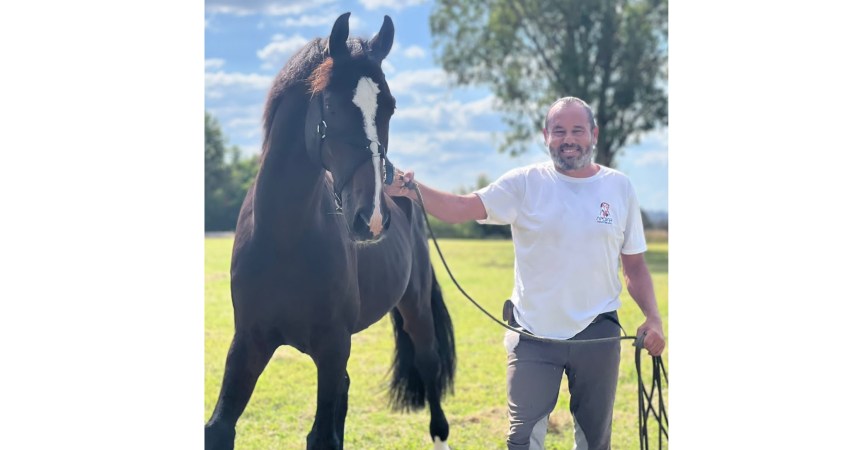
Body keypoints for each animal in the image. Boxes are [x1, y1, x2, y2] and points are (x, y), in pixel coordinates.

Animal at [204, 13, 456, 450]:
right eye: (332, 105)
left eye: (390, 107)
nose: (372, 218)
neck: (284, 238)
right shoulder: (248, 343)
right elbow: (220, 428)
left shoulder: (333, 348)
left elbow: (322, 435)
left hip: (416, 310)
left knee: (428, 369)